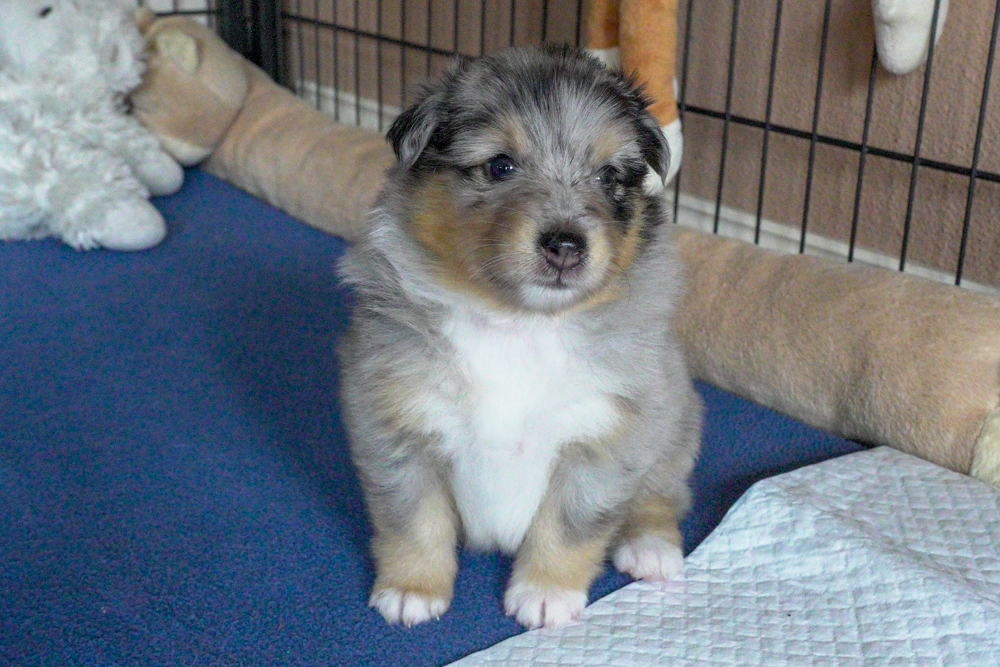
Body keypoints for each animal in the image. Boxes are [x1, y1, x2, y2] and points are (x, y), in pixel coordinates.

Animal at [337, 45, 702, 630]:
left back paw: (651, 549)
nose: (566, 246)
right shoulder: (393, 424)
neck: (516, 323)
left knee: (661, 495)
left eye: (608, 176)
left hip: (674, 424)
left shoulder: (607, 434)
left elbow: (569, 525)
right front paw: (412, 590)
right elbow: (414, 519)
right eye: (500, 166)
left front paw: (545, 595)